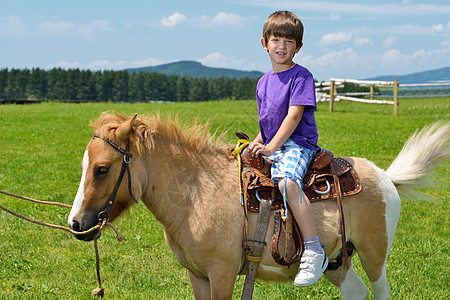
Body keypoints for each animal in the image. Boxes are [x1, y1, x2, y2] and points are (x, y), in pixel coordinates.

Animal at [67, 113, 450, 300]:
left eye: (102, 169)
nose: (76, 224)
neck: (197, 193)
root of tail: (384, 176)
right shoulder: (197, 275)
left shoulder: (222, 274)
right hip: (337, 261)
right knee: (356, 293)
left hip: (374, 255)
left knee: (380, 291)